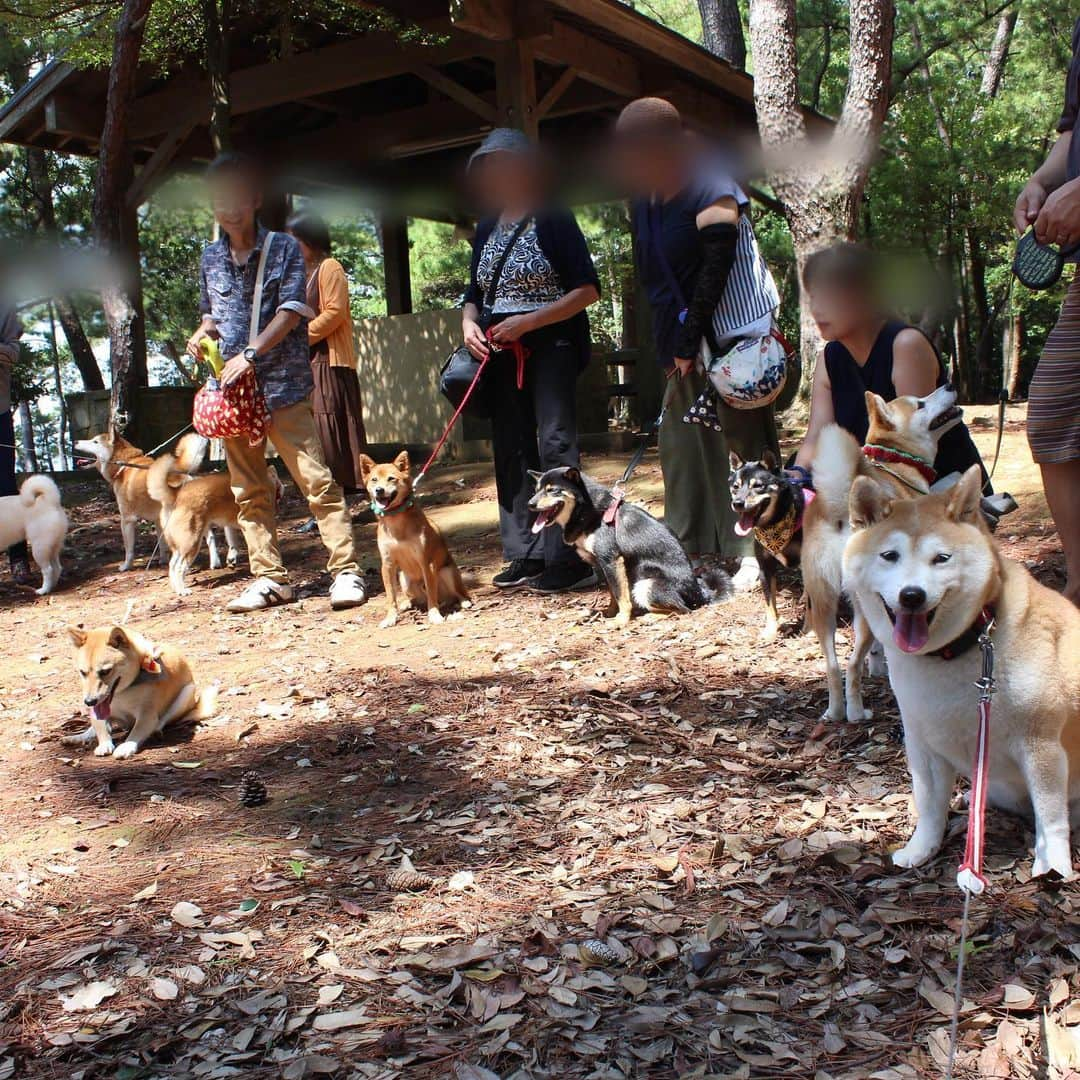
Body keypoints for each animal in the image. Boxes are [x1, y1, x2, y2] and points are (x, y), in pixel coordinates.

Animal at [360, 451, 470, 630]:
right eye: (374, 479)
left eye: (391, 478)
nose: (379, 490)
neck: (396, 521)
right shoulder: (387, 565)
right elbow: (391, 597)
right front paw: (390, 618)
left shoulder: (427, 562)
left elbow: (431, 595)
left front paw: (434, 615)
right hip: (404, 579)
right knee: (417, 598)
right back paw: (407, 603)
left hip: (446, 573)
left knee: (457, 593)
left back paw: (464, 602)